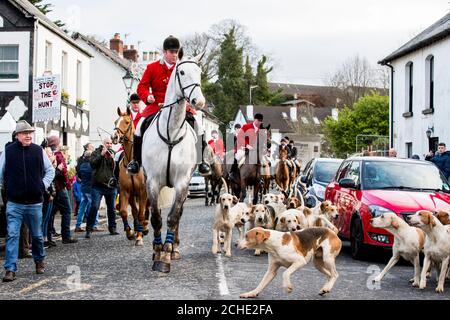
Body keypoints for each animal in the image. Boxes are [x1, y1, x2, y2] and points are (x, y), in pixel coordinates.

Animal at [142, 49, 205, 272]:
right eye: (182, 72)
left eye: (200, 72)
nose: (199, 102)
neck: (171, 132)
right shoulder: (152, 182)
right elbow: (156, 218)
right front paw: (157, 250)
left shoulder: (182, 182)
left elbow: (173, 216)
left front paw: (167, 253)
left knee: (179, 214)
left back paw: (175, 248)